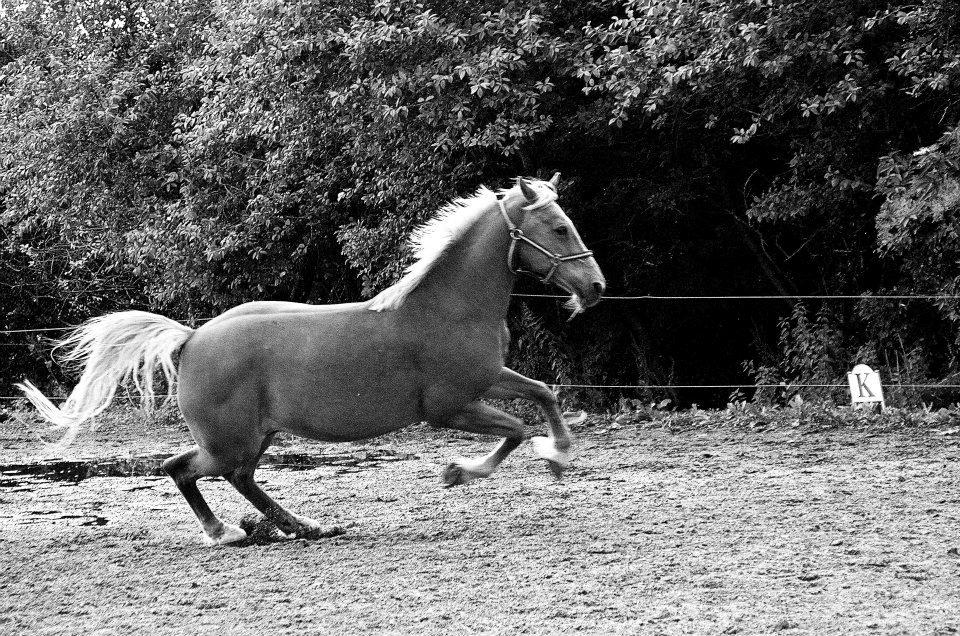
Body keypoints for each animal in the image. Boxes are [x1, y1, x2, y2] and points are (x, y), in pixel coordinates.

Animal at [16, 175, 608, 548]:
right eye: (559, 228)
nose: (596, 287)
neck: (448, 307)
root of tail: (191, 339)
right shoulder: (449, 407)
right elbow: (516, 430)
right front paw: (462, 471)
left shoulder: (488, 380)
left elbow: (543, 394)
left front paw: (558, 454)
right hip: (231, 438)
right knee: (187, 469)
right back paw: (230, 532)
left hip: (256, 434)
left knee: (234, 477)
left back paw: (305, 527)